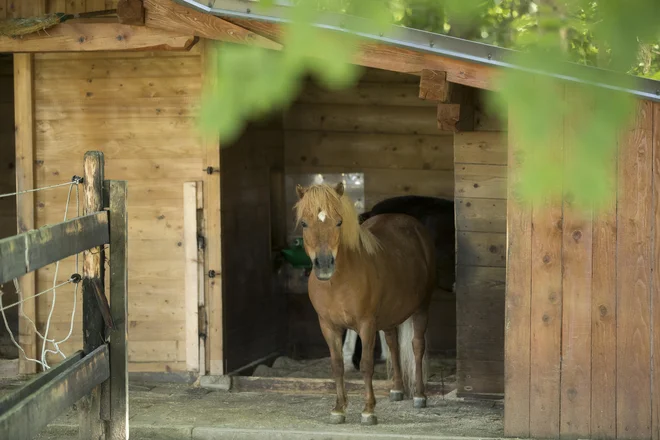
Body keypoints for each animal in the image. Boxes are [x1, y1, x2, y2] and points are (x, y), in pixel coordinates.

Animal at [296, 180, 436, 424]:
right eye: (304, 223)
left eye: (339, 222)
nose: (324, 264)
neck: (338, 282)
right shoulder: (328, 325)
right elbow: (337, 365)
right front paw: (339, 408)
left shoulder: (366, 324)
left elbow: (366, 365)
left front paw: (368, 410)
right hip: (391, 315)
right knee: (393, 345)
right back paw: (397, 389)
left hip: (421, 308)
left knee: (417, 346)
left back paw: (419, 395)